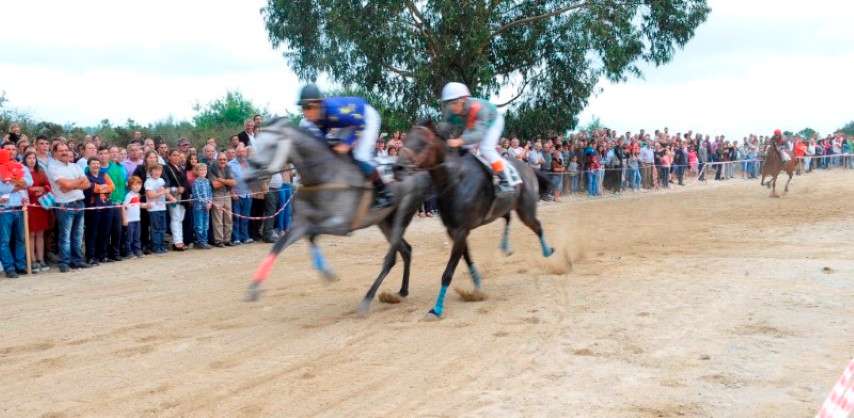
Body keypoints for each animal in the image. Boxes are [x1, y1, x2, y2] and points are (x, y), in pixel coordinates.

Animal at [242, 117, 432, 314]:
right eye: (255, 143)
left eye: (272, 145)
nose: (248, 177)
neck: (324, 177)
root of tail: (418, 169)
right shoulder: (299, 224)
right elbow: (279, 246)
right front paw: (254, 288)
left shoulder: (342, 225)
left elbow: (311, 234)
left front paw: (327, 273)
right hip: (384, 221)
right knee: (406, 250)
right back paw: (402, 290)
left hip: (401, 216)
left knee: (391, 258)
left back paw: (368, 298)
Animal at [402, 122, 560, 318]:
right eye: (406, 138)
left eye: (422, 142)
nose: (397, 166)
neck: (455, 180)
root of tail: (530, 168)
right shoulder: (454, 231)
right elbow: (467, 257)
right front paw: (477, 285)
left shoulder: (461, 230)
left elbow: (448, 272)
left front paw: (437, 308)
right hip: (503, 207)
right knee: (508, 217)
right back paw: (506, 247)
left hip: (526, 209)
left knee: (537, 226)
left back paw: (547, 250)